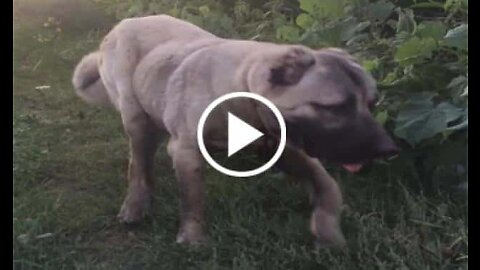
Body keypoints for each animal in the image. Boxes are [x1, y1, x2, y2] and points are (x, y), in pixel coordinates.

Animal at [72, 14, 398, 247]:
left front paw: (328, 230)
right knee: (139, 165)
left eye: (372, 103)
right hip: (135, 117)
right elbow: (192, 197)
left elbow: (327, 184)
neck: (243, 92)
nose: (388, 149)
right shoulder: (185, 150)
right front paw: (193, 238)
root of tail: (123, 23)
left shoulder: (286, 148)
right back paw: (135, 205)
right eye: (336, 108)